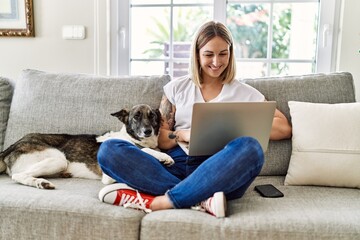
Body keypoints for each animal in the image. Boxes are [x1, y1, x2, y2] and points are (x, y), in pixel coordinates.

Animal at [0, 104, 174, 189]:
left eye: (152, 116)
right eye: (136, 117)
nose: (147, 131)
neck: (130, 137)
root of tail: (11, 146)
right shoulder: (108, 177)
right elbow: (144, 150)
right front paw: (164, 156)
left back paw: (42, 182)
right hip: (58, 159)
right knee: (18, 176)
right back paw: (40, 182)